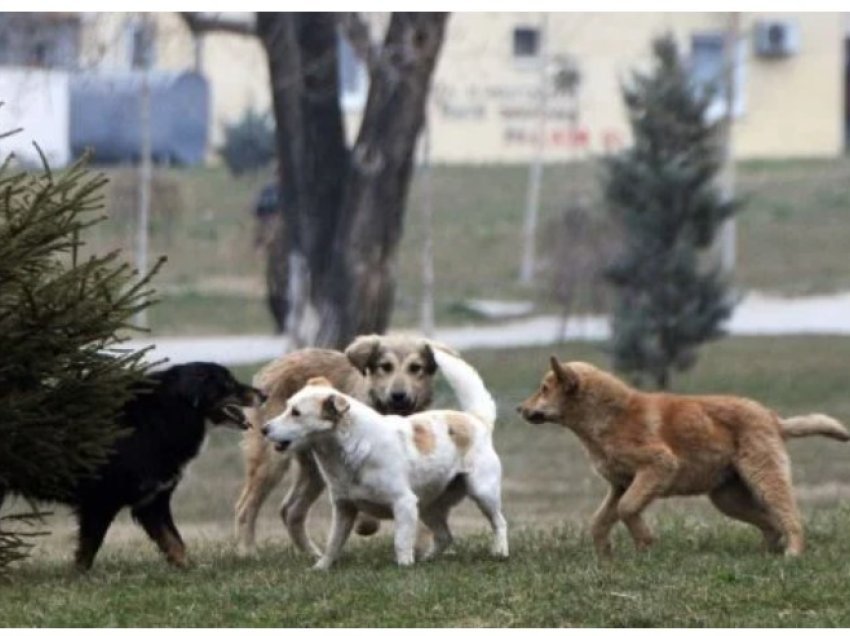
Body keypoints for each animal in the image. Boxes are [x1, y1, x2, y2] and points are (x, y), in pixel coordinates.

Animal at [64, 362, 262, 572]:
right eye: (228, 383)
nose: (264, 394)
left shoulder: (152, 501)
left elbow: (174, 541)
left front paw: (188, 569)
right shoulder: (100, 500)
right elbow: (88, 548)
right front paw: (79, 575)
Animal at [235, 336, 454, 556]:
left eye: (415, 368)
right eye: (386, 367)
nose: (398, 395)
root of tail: (273, 365)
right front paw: (366, 523)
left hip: (314, 471)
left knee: (290, 510)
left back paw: (312, 554)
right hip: (271, 462)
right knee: (246, 508)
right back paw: (248, 552)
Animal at [262, 350, 506, 568]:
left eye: (296, 413)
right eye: (287, 407)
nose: (264, 429)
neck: (351, 448)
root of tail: (476, 420)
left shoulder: (404, 503)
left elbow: (401, 542)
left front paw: (404, 566)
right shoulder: (344, 508)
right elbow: (333, 543)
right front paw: (321, 568)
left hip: (482, 492)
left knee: (499, 522)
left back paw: (500, 552)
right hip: (428, 507)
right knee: (445, 536)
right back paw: (428, 559)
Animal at [516, 356, 848, 560]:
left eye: (544, 389)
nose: (519, 409)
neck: (608, 417)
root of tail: (772, 418)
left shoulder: (658, 466)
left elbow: (626, 509)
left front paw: (645, 544)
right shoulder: (620, 485)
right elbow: (600, 521)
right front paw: (605, 556)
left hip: (764, 478)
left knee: (789, 517)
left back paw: (793, 552)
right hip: (727, 498)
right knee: (771, 523)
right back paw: (766, 553)